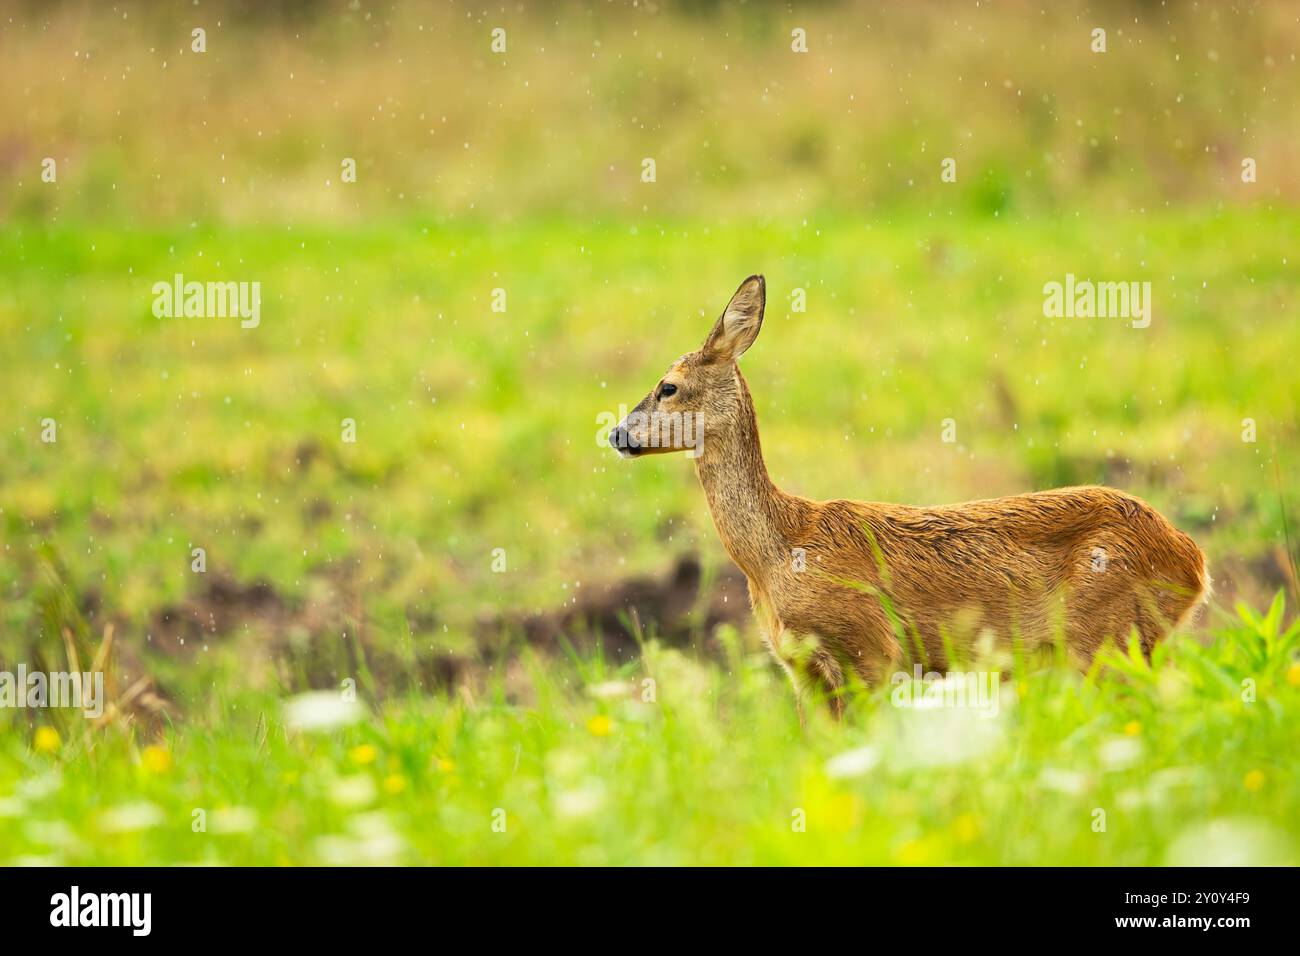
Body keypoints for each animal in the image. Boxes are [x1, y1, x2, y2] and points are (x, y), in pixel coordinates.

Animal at [608, 273, 1206, 712]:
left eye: (668, 387)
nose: (616, 433)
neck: (777, 553)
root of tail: (1193, 560)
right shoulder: (801, 669)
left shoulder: (869, 649)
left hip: (1109, 639)